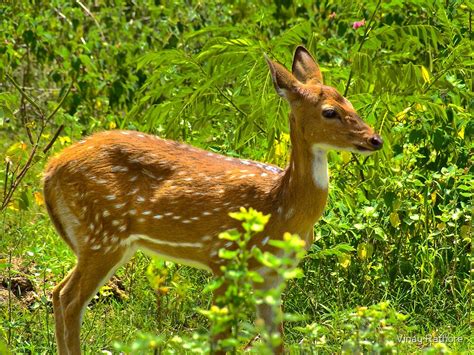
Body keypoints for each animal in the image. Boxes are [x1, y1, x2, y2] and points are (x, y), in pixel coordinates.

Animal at [43, 46, 386, 354]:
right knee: (70, 299)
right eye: (329, 112)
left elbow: (276, 341)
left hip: (102, 241)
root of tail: (50, 169)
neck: (281, 208)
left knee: (58, 293)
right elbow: (219, 340)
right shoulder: (223, 257)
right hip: (102, 233)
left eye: (350, 102)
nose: (375, 139)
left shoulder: (272, 275)